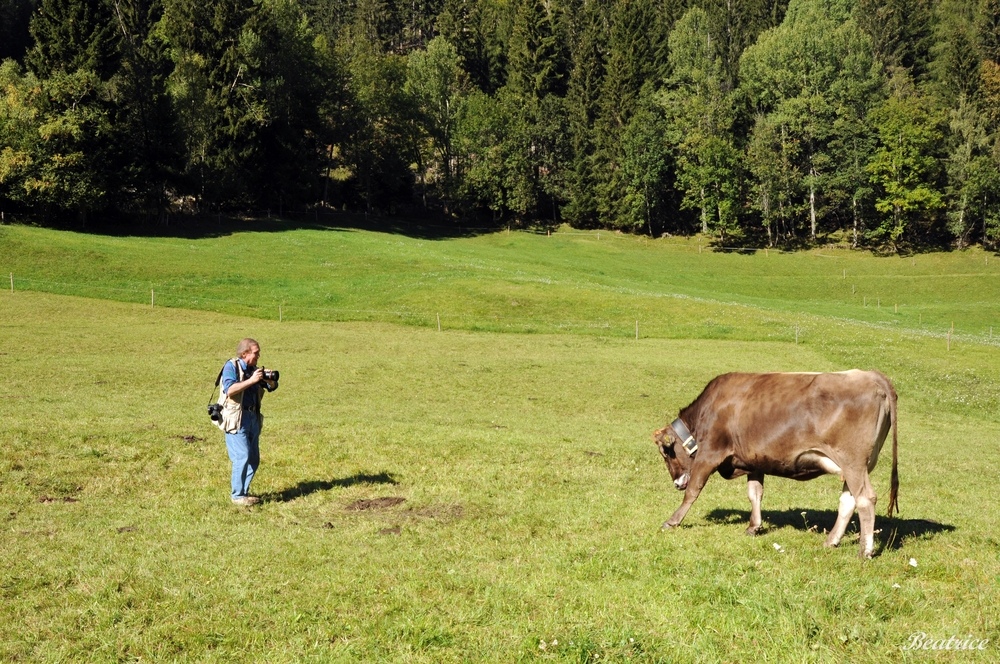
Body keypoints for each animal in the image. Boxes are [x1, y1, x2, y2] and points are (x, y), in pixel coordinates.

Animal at [656, 370, 900, 556]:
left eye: (667, 454)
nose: (676, 483)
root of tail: (872, 375)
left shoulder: (710, 453)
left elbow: (693, 490)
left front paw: (672, 521)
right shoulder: (754, 462)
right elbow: (755, 494)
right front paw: (754, 526)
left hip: (853, 462)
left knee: (865, 499)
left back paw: (864, 551)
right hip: (855, 467)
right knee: (848, 501)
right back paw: (831, 541)